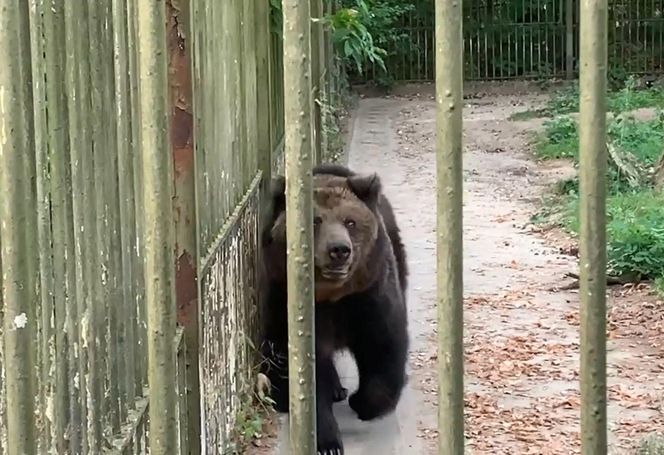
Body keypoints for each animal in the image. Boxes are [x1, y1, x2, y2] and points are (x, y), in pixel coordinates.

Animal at [260, 164, 410, 455]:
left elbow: (383, 344)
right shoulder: (285, 300)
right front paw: (327, 442)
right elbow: (299, 372)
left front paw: (363, 402)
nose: (339, 250)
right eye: (315, 221)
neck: (331, 296)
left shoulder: (368, 295)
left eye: (350, 222)